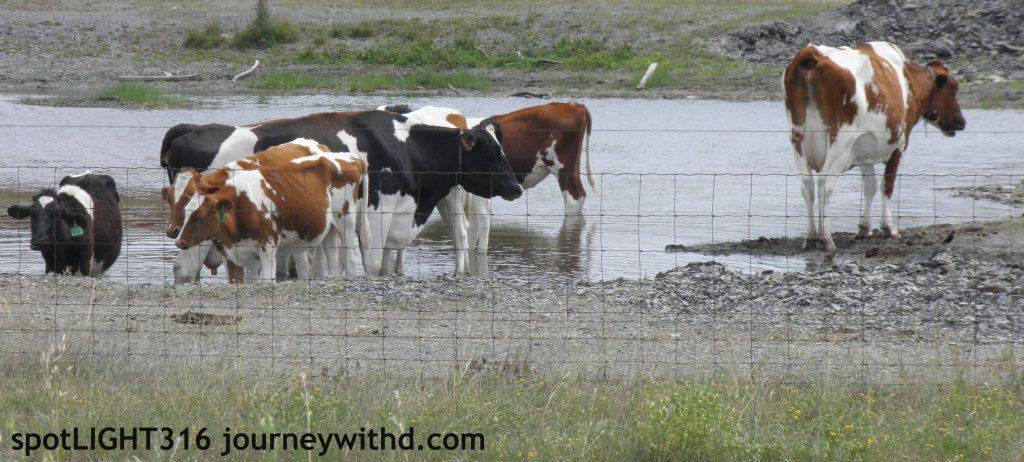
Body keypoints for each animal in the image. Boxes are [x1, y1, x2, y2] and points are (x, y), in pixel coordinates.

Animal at [175, 140, 367, 283]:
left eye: (199, 217)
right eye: (185, 213)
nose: (178, 242)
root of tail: (351, 157)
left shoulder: (267, 246)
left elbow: (267, 280)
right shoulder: (246, 254)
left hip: (346, 220)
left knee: (350, 258)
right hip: (329, 228)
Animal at [783, 41, 965, 251]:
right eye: (954, 88)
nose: (961, 122)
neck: (908, 81)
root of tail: (814, 53)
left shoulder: (864, 151)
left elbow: (870, 186)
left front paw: (864, 228)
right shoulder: (900, 144)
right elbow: (887, 185)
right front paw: (889, 228)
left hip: (797, 138)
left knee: (807, 185)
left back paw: (811, 237)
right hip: (840, 140)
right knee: (825, 183)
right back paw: (826, 238)